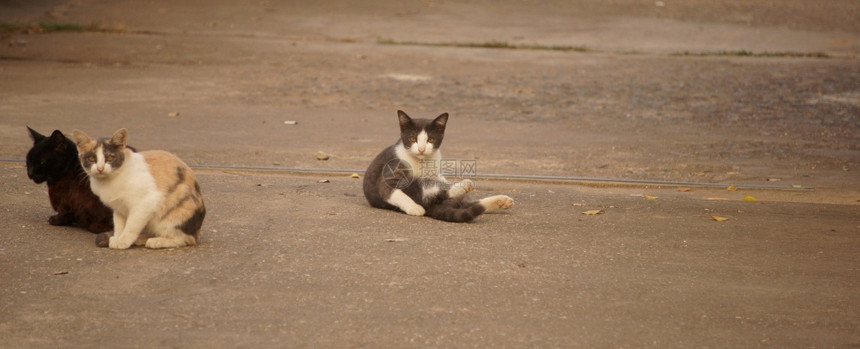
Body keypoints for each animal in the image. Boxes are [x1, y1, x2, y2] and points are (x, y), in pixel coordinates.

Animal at [71, 128, 205, 247]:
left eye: (110, 157)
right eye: (91, 158)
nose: (100, 168)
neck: (109, 181)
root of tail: (197, 231)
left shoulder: (144, 204)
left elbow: (131, 225)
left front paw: (123, 241)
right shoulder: (119, 208)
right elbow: (119, 224)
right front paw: (117, 237)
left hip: (171, 217)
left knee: (185, 239)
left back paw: (156, 241)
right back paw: (141, 239)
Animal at [362, 110, 512, 222]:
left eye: (431, 139)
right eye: (412, 138)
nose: (421, 149)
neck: (421, 162)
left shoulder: (436, 174)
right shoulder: (389, 175)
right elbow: (394, 192)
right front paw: (414, 208)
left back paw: (500, 201)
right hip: (415, 188)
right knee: (431, 191)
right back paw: (463, 186)